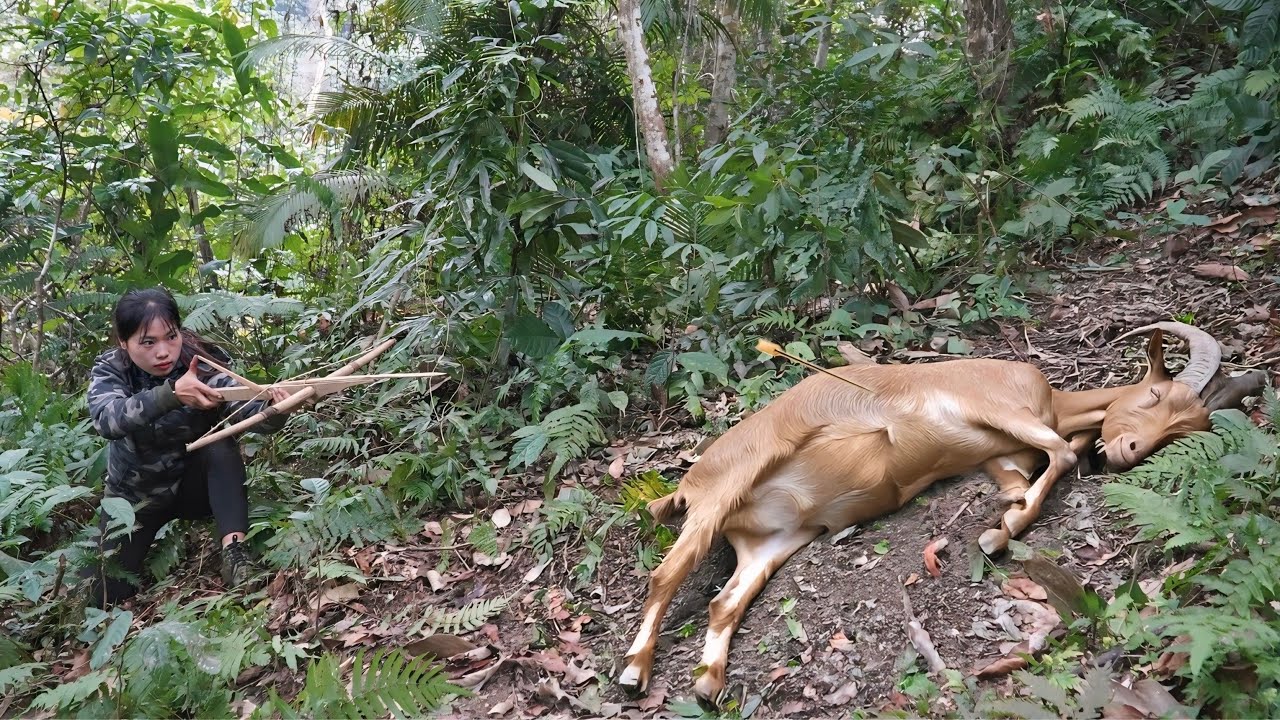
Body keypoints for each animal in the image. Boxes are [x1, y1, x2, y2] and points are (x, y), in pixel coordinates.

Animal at [618, 322, 1247, 701]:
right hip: (723, 490)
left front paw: (1002, 522)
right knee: (665, 575)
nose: (1129, 451)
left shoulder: (1001, 454)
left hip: (770, 542)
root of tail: (690, 481)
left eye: (1179, 432)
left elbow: (1031, 474)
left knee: (723, 603)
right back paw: (633, 670)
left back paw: (708, 682)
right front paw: (997, 531)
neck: (1056, 402)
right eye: (1153, 396)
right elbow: (1063, 453)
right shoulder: (992, 407)